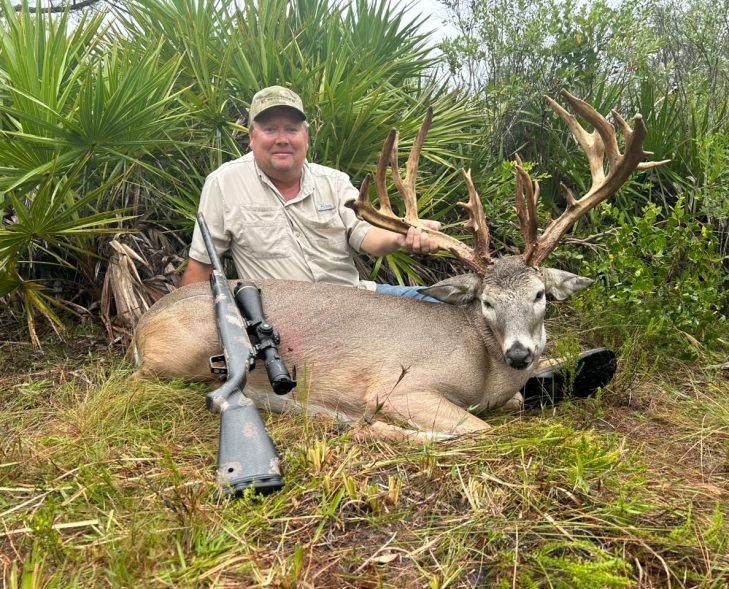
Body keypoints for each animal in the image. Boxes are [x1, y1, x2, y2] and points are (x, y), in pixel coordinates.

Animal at [132, 91, 666, 441]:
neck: (485, 368)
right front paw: (379, 425)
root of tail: (141, 324)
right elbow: (480, 429)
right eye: (487, 301)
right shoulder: (403, 387)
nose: (520, 354)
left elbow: (513, 405)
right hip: (181, 360)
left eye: (539, 295)